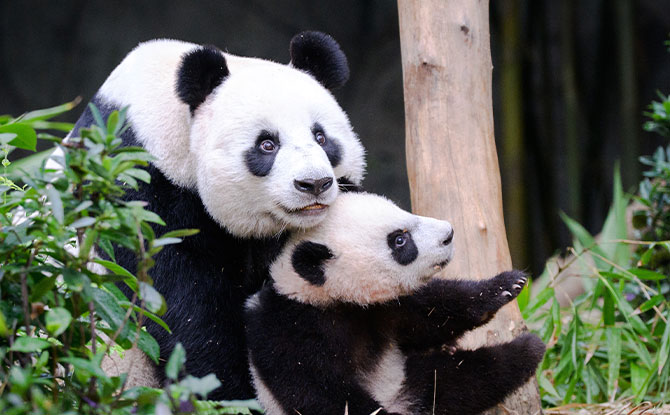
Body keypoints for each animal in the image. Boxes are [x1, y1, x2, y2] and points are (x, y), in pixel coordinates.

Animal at [70, 31, 364, 400]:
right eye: (267, 144)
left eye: (321, 137)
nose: (314, 184)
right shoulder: (136, 187)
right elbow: (183, 306)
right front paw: (231, 390)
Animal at [244, 194, 548, 415]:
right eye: (400, 240)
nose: (449, 234)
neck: (325, 298)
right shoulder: (291, 334)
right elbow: (321, 394)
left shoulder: (386, 307)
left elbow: (434, 311)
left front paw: (506, 285)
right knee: (458, 381)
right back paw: (525, 351)